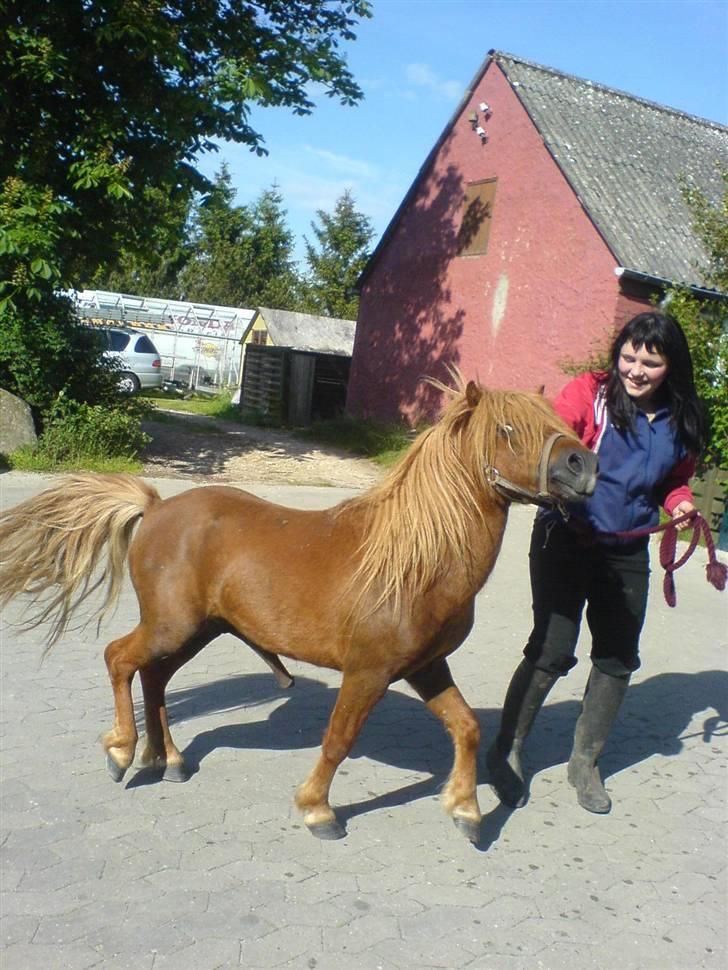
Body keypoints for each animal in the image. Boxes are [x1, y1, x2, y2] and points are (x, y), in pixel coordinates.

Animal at [1, 380, 596, 840]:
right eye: (507, 429)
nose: (583, 464)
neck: (415, 559)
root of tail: (156, 506)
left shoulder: (426, 667)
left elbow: (466, 726)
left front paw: (467, 810)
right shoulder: (369, 671)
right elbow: (339, 739)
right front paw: (317, 809)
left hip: (198, 631)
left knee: (154, 678)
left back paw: (167, 759)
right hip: (171, 627)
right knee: (120, 659)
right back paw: (123, 752)